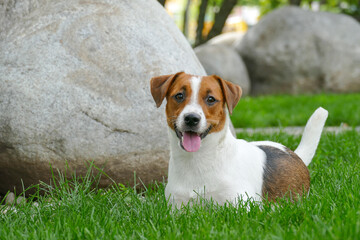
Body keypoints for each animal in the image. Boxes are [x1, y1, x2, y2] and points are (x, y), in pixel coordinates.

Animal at [150, 72, 330, 207]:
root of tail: (295, 154)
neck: (198, 160)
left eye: (211, 99)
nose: (191, 118)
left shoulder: (242, 206)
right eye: (179, 96)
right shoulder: (177, 208)